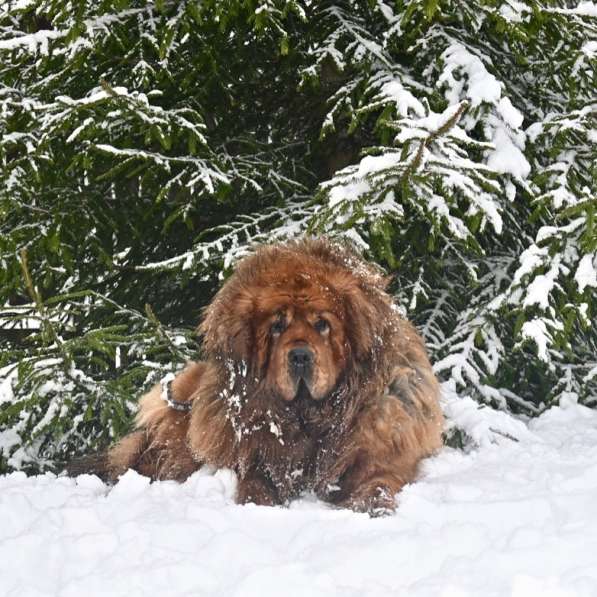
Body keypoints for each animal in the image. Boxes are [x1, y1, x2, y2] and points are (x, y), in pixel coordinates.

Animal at [72, 237, 440, 512]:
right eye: (277, 326)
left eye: (322, 324)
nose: (300, 355)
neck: (309, 417)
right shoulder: (256, 457)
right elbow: (256, 485)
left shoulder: (380, 454)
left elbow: (377, 482)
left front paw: (371, 506)